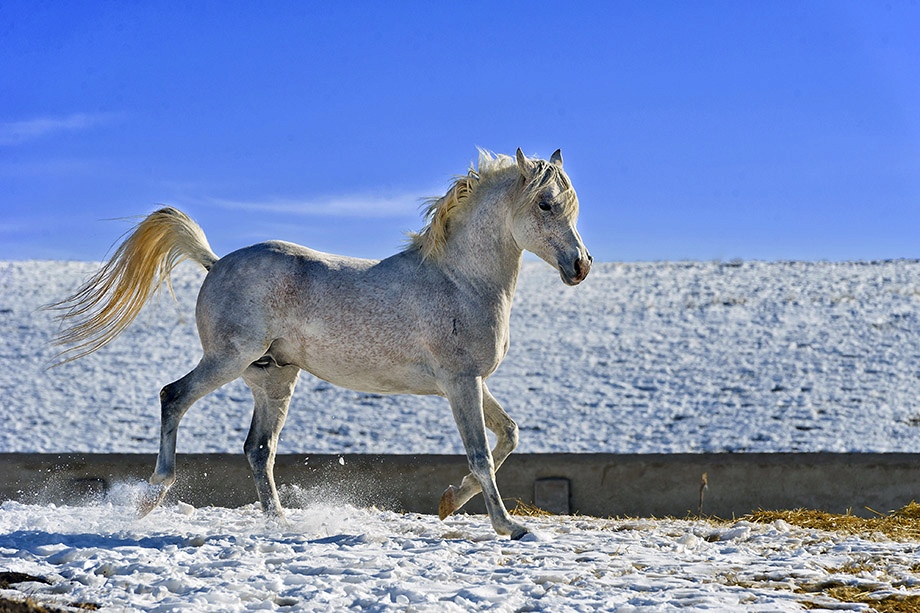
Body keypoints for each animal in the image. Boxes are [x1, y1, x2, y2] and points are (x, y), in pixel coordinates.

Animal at [50, 148, 592, 536]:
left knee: (258, 449)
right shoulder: (460, 383)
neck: (460, 280)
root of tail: (215, 262)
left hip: (273, 379)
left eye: (571, 206)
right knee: (174, 397)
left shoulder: (472, 382)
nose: (580, 265)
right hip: (227, 359)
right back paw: (152, 497)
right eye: (545, 204)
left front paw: (446, 503)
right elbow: (480, 454)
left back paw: (281, 524)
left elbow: (510, 435)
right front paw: (511, 527)